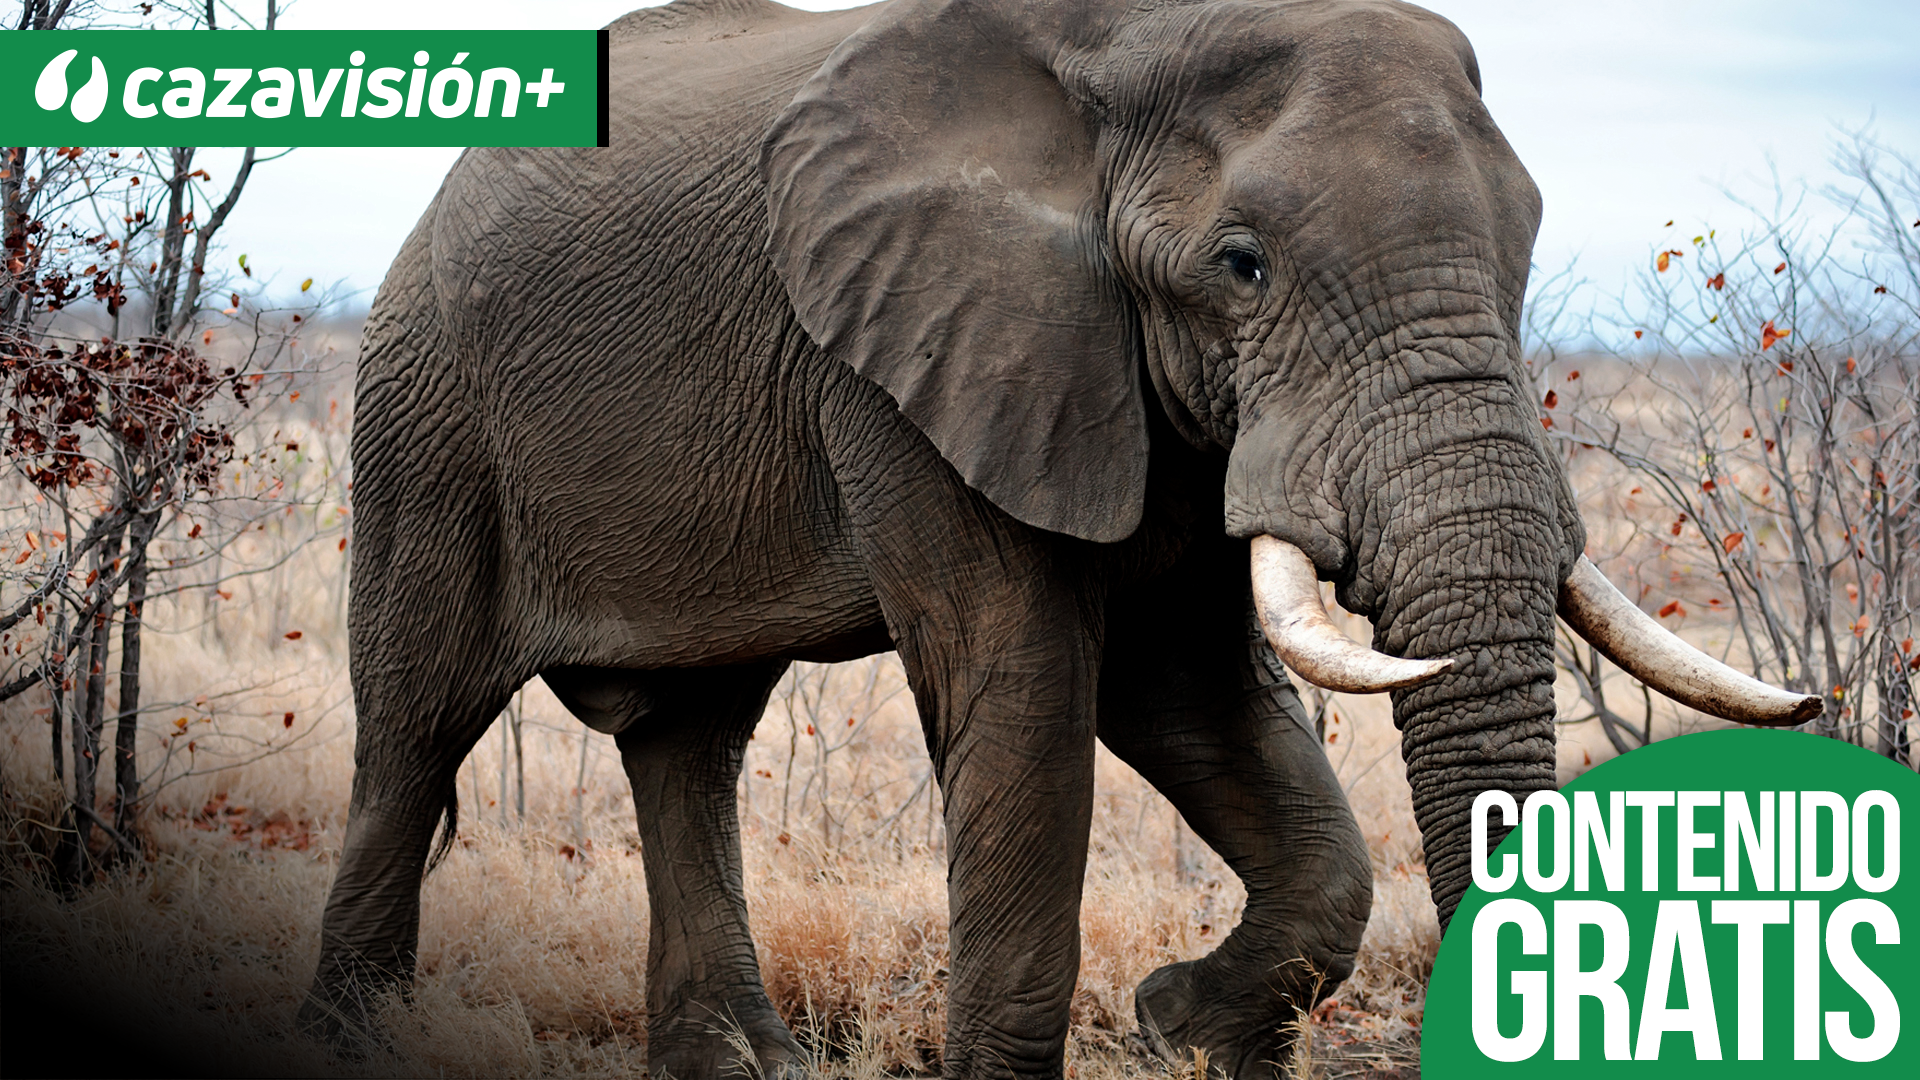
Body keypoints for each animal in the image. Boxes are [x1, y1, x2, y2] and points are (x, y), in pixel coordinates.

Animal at [299, 0, 1819, 1075]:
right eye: (1242, 265)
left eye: (1526, 252)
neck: (1136, 45)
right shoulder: (909, 355)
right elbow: (1028, 687)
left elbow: (1186, 690)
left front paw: (1179, 1024)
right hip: (426, 409)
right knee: (417, 728)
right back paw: (362, 1044)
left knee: (693, 738)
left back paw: (743, 1067)